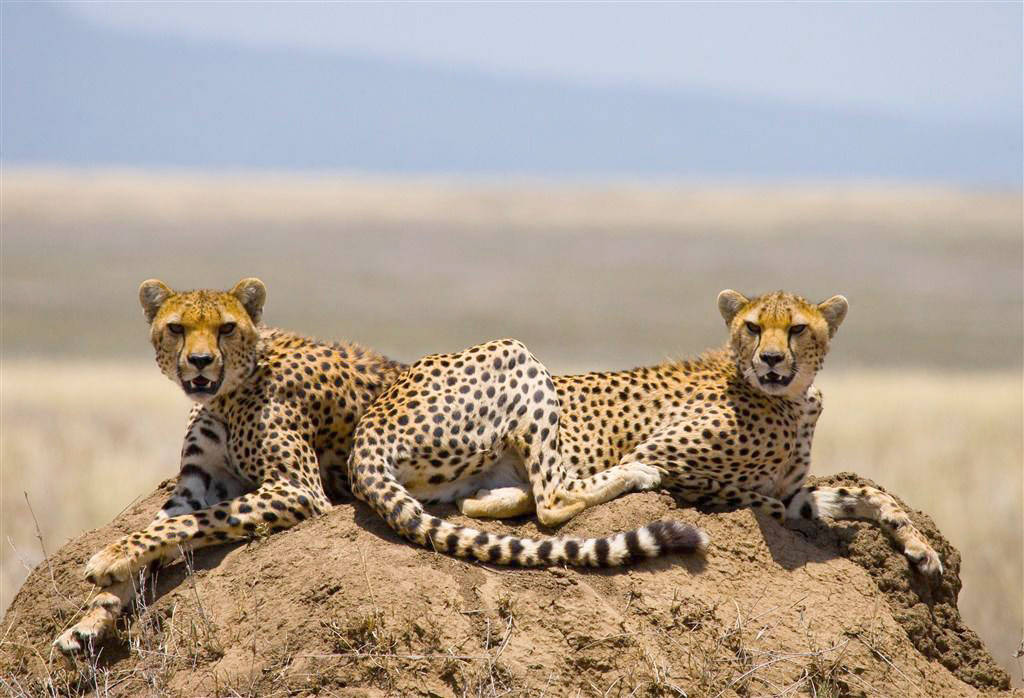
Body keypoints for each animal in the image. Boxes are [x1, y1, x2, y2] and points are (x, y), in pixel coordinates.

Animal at [52, 276, 403, 650]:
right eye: (176, 327)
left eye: (227, 328)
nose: (200, 360)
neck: (230, 391)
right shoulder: (196, 485)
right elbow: (159, 527)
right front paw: (91, 618)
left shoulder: (299, 489)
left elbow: (192, 523)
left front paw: (109, 558)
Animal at [348, 284, 937, 573]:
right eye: (752, 327)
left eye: (796, 329)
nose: (771, 359)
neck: (791, 397)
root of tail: (368, 423)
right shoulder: (673, 455)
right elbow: (739, 493)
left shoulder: (796, 493)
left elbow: (862, 495)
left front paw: (919, 548)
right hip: (512, 352)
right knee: (553, 499)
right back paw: (628, 479)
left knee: (484, 503)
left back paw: (496, 499)